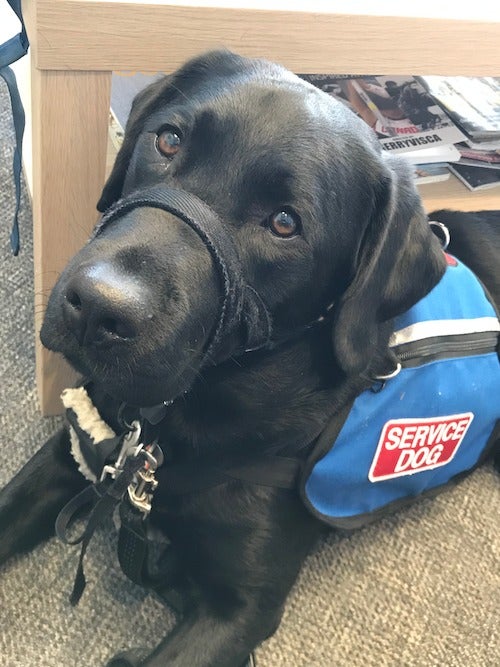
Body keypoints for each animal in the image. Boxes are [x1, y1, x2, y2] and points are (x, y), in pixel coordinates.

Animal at [0, 51, 500, 667]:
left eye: (285, 223)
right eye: (168, 139)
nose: (96, 308)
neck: (172, 421)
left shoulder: (236, 611)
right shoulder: (75, 448)